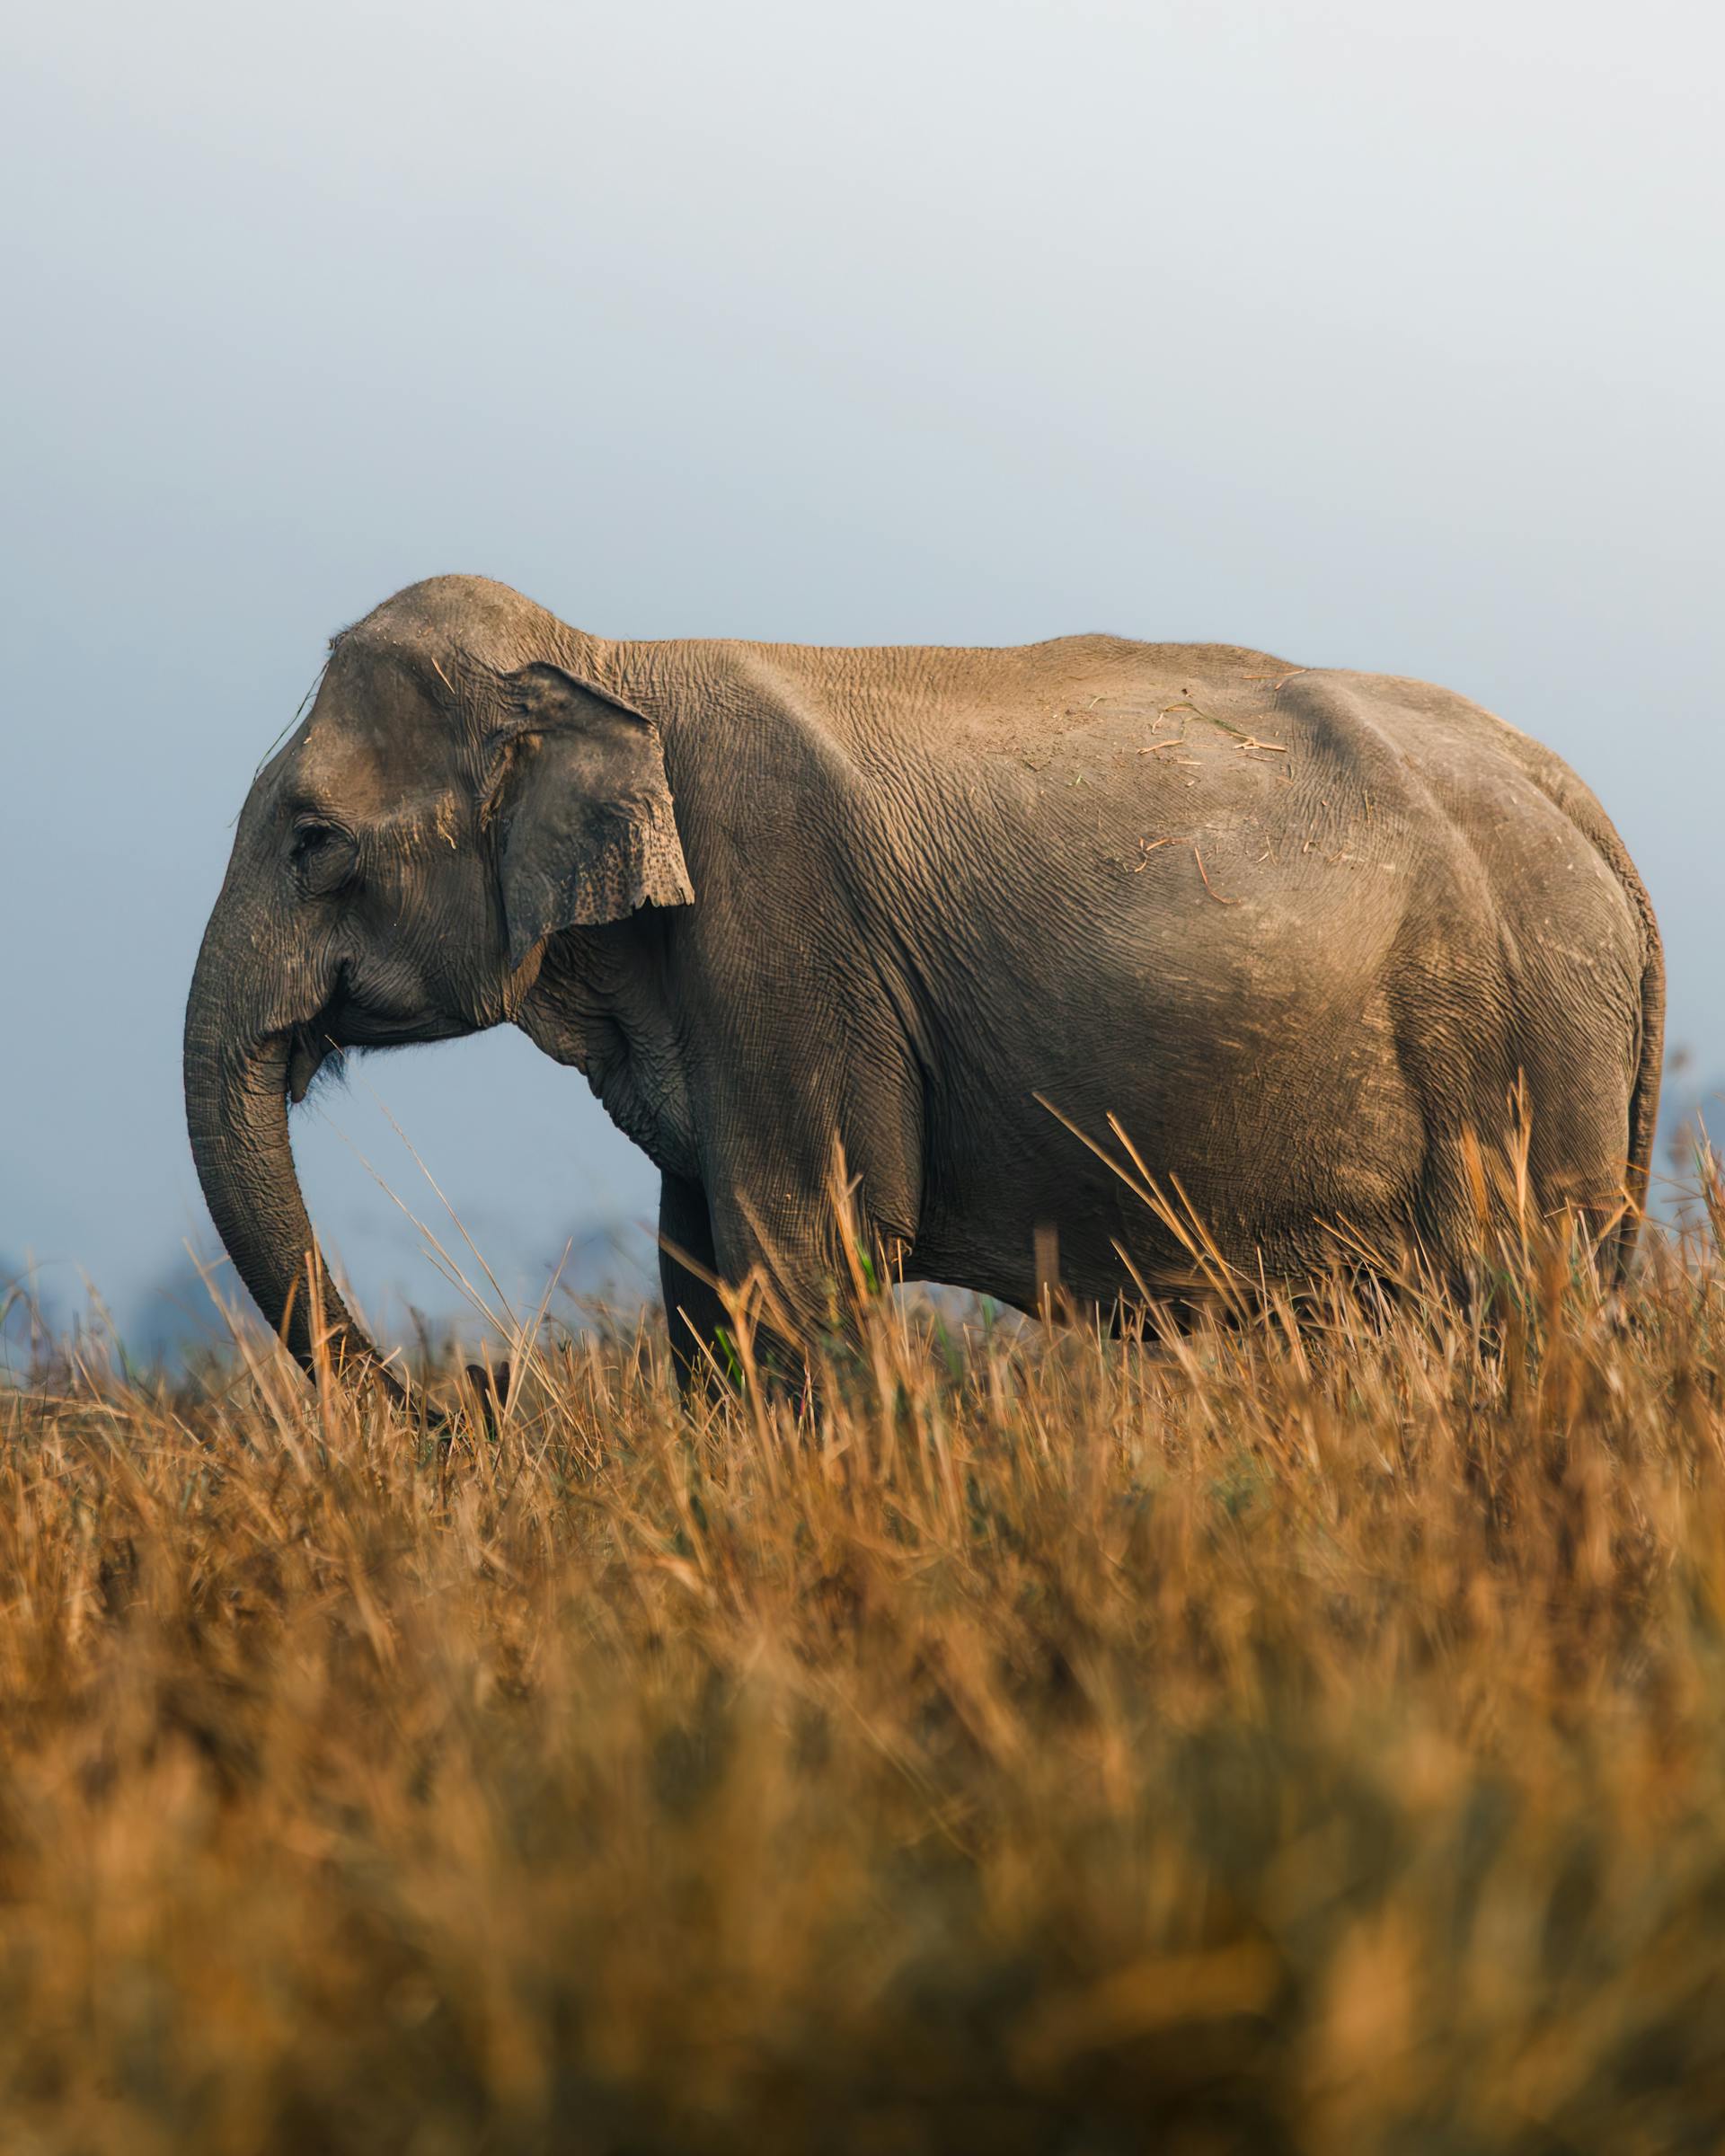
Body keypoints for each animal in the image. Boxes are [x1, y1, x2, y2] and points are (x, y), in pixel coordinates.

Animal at [184, 574, 1663, 1402]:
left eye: (312, 840)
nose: (485, 1387)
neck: (600, 657)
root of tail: (1589, 817)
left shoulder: (779, 922)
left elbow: (802, 1248)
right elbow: (702, 1271)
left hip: (1521, 1048)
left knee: (1517, 1287)